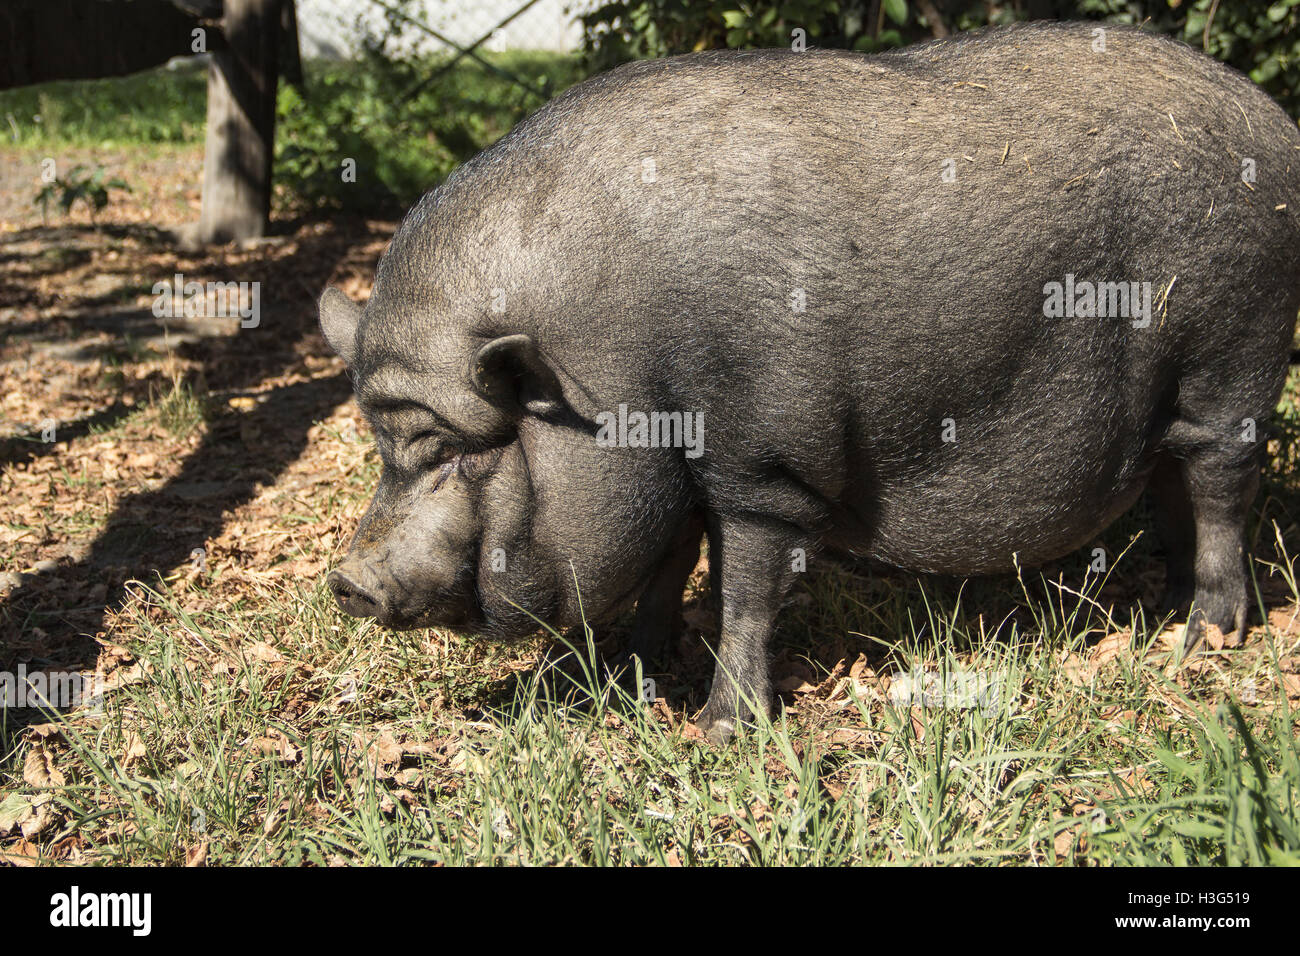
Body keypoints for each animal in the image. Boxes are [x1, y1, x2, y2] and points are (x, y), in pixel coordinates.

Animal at [322, 20, 1300, 738]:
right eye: (384, 448)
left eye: (458, 453)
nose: (348, 580)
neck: (603, 370)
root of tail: (1278, 127)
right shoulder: (675, 471)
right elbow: (666, 565)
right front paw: (640, 673)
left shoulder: (763, 467)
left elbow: (745, 589)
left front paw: (721, 729)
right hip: (1174, 394)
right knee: (1171, 476)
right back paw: (1166, 609)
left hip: (1236, 355)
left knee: (1221, 482)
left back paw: (1209, 636)